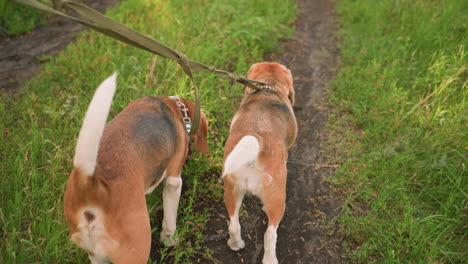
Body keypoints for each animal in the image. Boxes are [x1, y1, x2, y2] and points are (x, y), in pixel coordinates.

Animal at [63, 72, 208, 264]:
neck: (174, 108)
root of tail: (91, 186)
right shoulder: (173, 180)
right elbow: (169, 219)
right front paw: (169, 240)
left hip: (95, 254)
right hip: (137, 248)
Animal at [222, 62, 296, 264]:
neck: (268, 88)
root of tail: (257, 137)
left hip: (232, 191)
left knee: (234, 225)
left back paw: (235, 244)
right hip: (277, 200)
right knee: (270, 234)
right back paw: (270, 259)